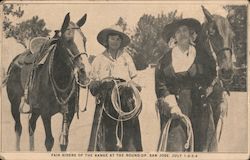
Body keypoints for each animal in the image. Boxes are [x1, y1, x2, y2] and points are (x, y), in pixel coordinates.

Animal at [5, 12, 91, 151]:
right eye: (68, 40)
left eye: (84, 40)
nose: (85, 73)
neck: (60, 80)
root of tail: (15, 61)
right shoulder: (46, 113)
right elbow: (49, 141)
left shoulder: (69, 113)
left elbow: (64, 143)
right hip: (15, 103)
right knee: (19, 127)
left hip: (35, 108)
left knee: (31, 124)